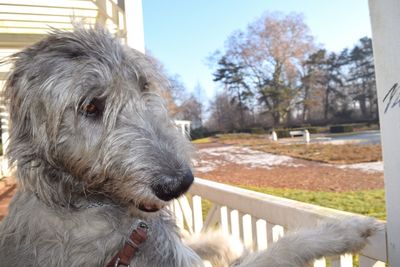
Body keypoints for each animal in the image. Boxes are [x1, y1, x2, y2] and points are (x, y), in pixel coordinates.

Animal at [0, 27, 380, 267]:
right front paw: (343, 231)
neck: (78, 198)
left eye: (143, 85)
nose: (179, 183)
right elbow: (282, 249)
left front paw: (221, 242)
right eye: (91, 106)